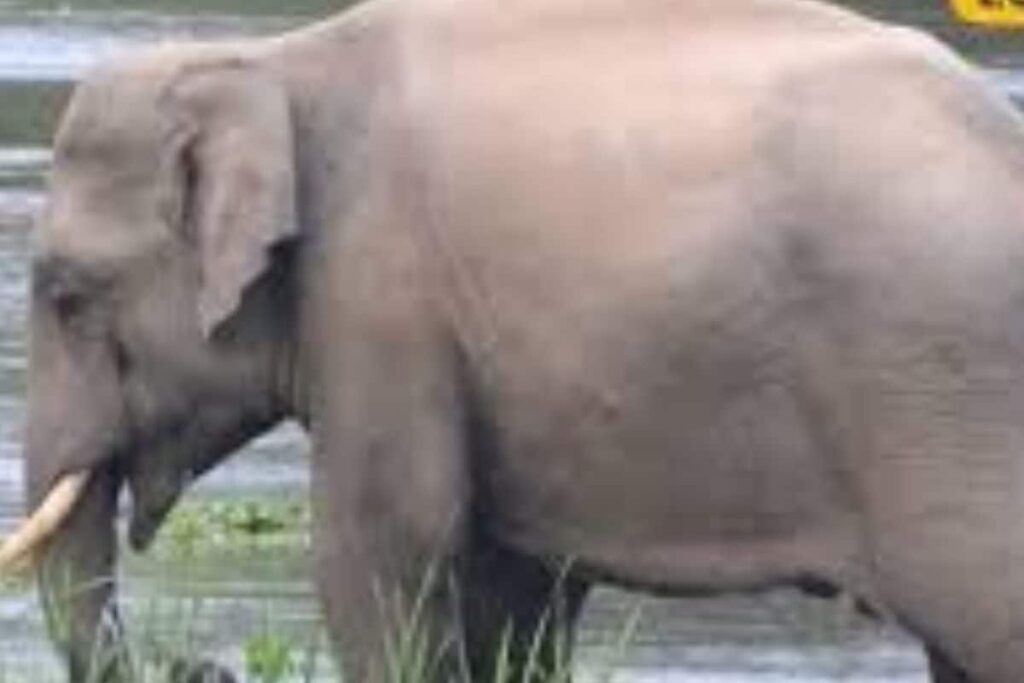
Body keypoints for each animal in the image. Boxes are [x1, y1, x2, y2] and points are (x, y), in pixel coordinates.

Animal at [5, 0, 1024, 680]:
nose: (202, 664)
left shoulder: (383, 291)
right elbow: (513, 584)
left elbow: (379, 546)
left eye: (67, 296)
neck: (268, 62)